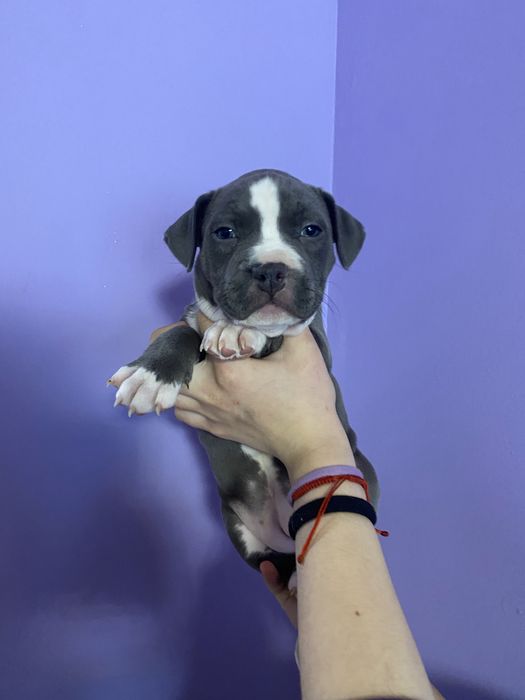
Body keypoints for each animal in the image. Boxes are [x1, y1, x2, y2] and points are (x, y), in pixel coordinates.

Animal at [108, 169, 379, 589]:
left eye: (311, 230)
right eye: (225, 233)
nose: (270, 269)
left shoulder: (317, 347)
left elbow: (276, 332)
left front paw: (238, 333)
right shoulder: (190, 318)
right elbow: (183, 333)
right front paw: (150, 373)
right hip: (239, 528)